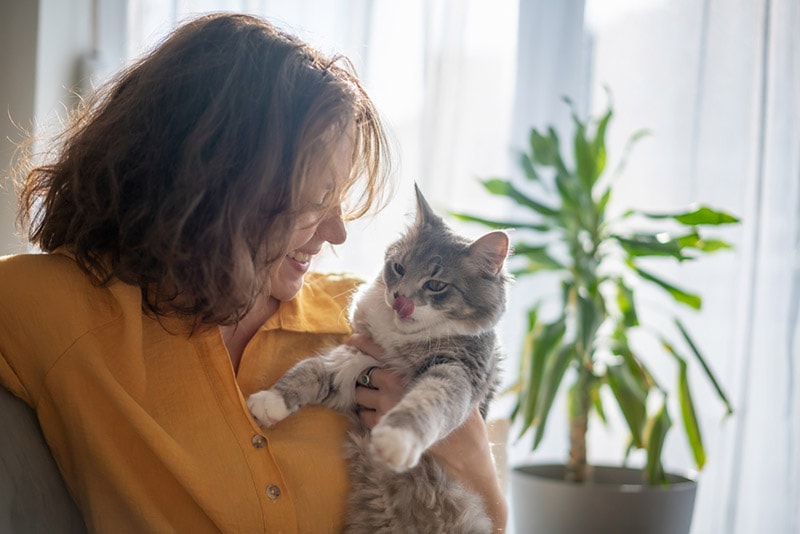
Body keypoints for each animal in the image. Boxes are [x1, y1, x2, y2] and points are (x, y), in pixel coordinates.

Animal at [247, 185, 510, 534]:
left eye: (435, 285)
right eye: (398, 268)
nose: (400, 299)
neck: (398, 336)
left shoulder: (456, 372)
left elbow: (426, 403)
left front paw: (395, 439)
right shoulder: (353, 361)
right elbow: (309, 371)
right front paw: (270, 402)